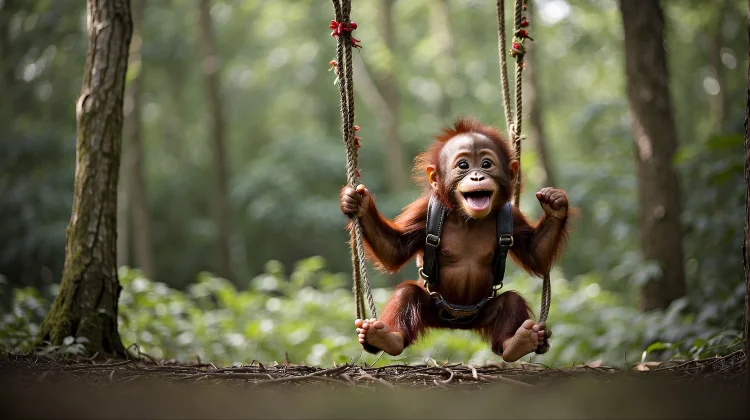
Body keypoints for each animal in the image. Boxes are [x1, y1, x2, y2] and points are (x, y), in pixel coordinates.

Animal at [340, 117, 571, 362]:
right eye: (463, 166)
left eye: (486, 164)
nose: (477, 176)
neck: (467, 218)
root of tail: (457, 323)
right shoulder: (423, 211)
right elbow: (396, 250)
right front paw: (358, 203)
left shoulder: (512, 217)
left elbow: (533, 254)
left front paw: (556, 205)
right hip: (433, 311)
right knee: (407, 293)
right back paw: (386, 338)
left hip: (481, 314)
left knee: (511, 301)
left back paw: (516, 343)